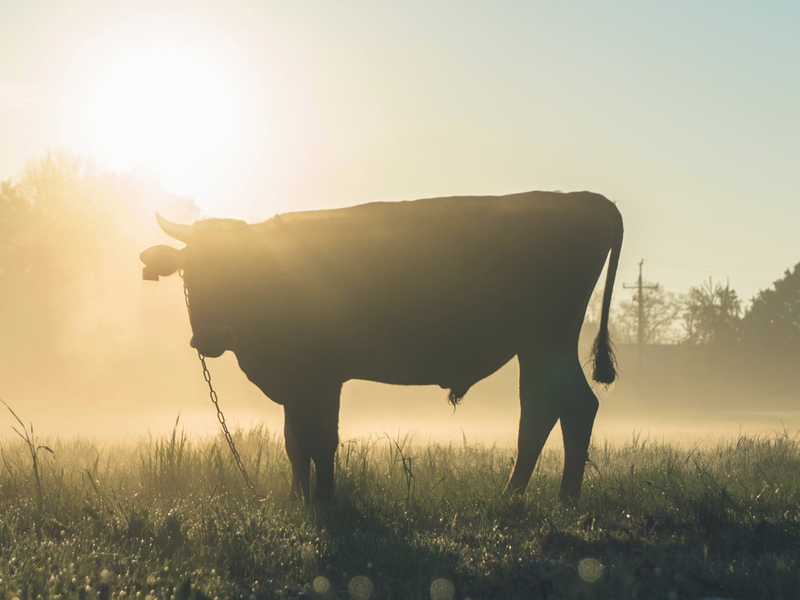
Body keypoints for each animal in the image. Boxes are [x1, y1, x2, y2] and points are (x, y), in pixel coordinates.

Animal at [140, 190, 623, 503]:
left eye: (240, 268)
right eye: (189, 270)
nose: (212, 335)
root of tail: (587, 199)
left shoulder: (320, 378)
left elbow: (321, 440)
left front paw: (326, 502)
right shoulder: (296, 384)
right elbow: (294, 442)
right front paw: (298, 500)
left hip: (547, 340)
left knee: (565, 408)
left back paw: (553, 499)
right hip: (538, 347)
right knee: (550, 410)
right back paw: (529, 496)